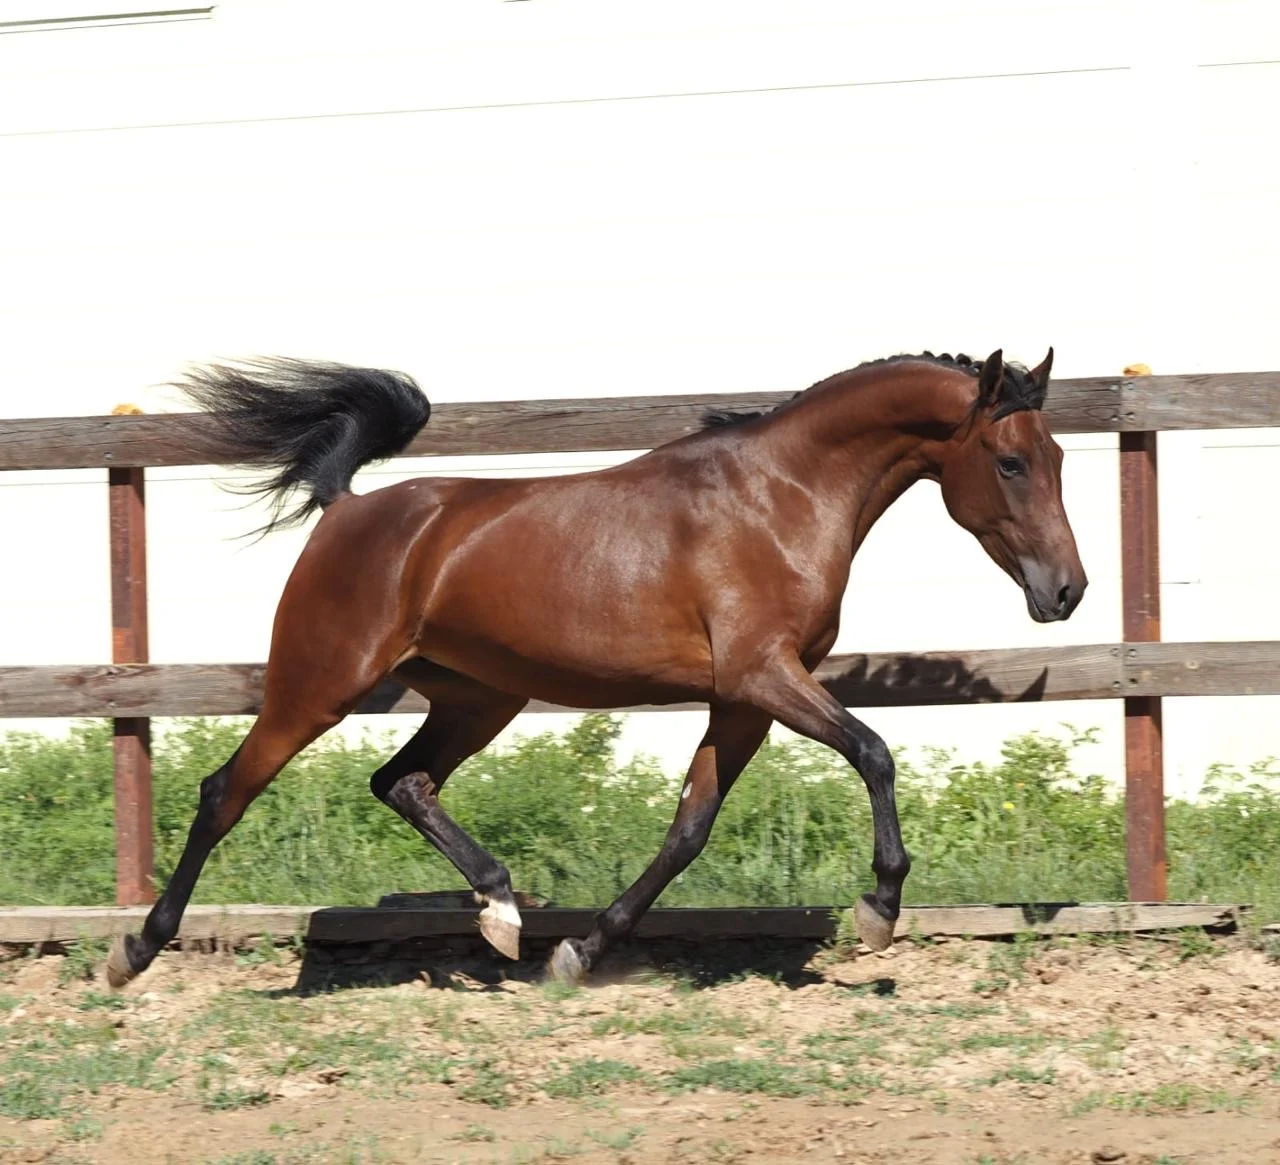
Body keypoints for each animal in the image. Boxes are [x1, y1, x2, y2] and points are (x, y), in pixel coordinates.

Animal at [105, 346, 1086, 988]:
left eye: (1058, 456)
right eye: (1009, 461)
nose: (1067, 590)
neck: (779, 497)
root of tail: (347, 509)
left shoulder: (743, 700)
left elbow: (688, 828)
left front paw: (580, 954)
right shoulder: (764, 676)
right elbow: (874, 751)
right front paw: (879, 910)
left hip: (481, 698)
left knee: (402, 780)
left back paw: (503, 916)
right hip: (317, 685)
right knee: (226, 792)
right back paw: (135, 952)